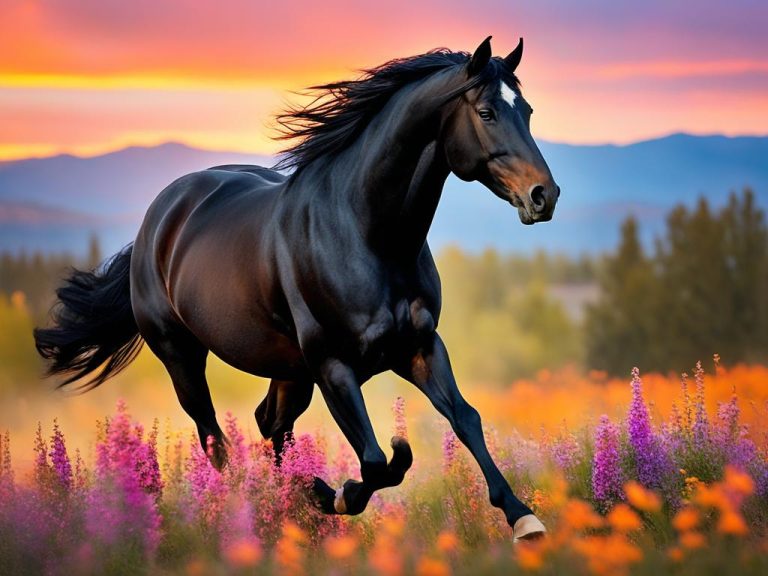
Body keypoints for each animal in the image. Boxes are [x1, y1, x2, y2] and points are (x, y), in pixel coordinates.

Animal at [34, 36, 559, 541]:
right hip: (184, 356)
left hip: (289, 370)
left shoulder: (420, 347)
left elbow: (465, 419)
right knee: (217, 440)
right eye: (487, 112)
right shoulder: (333, 365)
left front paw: (522, 517)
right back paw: (258, 508)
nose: (544, 196)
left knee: (271, 424)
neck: (369, 234)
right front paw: (337, 494)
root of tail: (157, 219)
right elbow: (378, 460)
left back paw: (288, 503)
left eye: (529, 111)